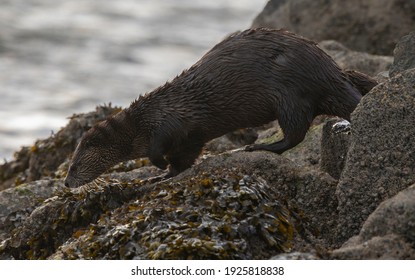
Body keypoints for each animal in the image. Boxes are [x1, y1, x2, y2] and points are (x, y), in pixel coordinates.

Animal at [63, 27, 378, 188]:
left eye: (75, 165)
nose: (66, 184)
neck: (142, 121)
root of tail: (328, 70)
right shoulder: (191, 140)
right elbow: (183, 160)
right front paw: (161, 175)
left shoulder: (168, 121)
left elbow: (160, 148)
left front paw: (158, 165)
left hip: (290, 94)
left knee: (295, 133)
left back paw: (258, 147)